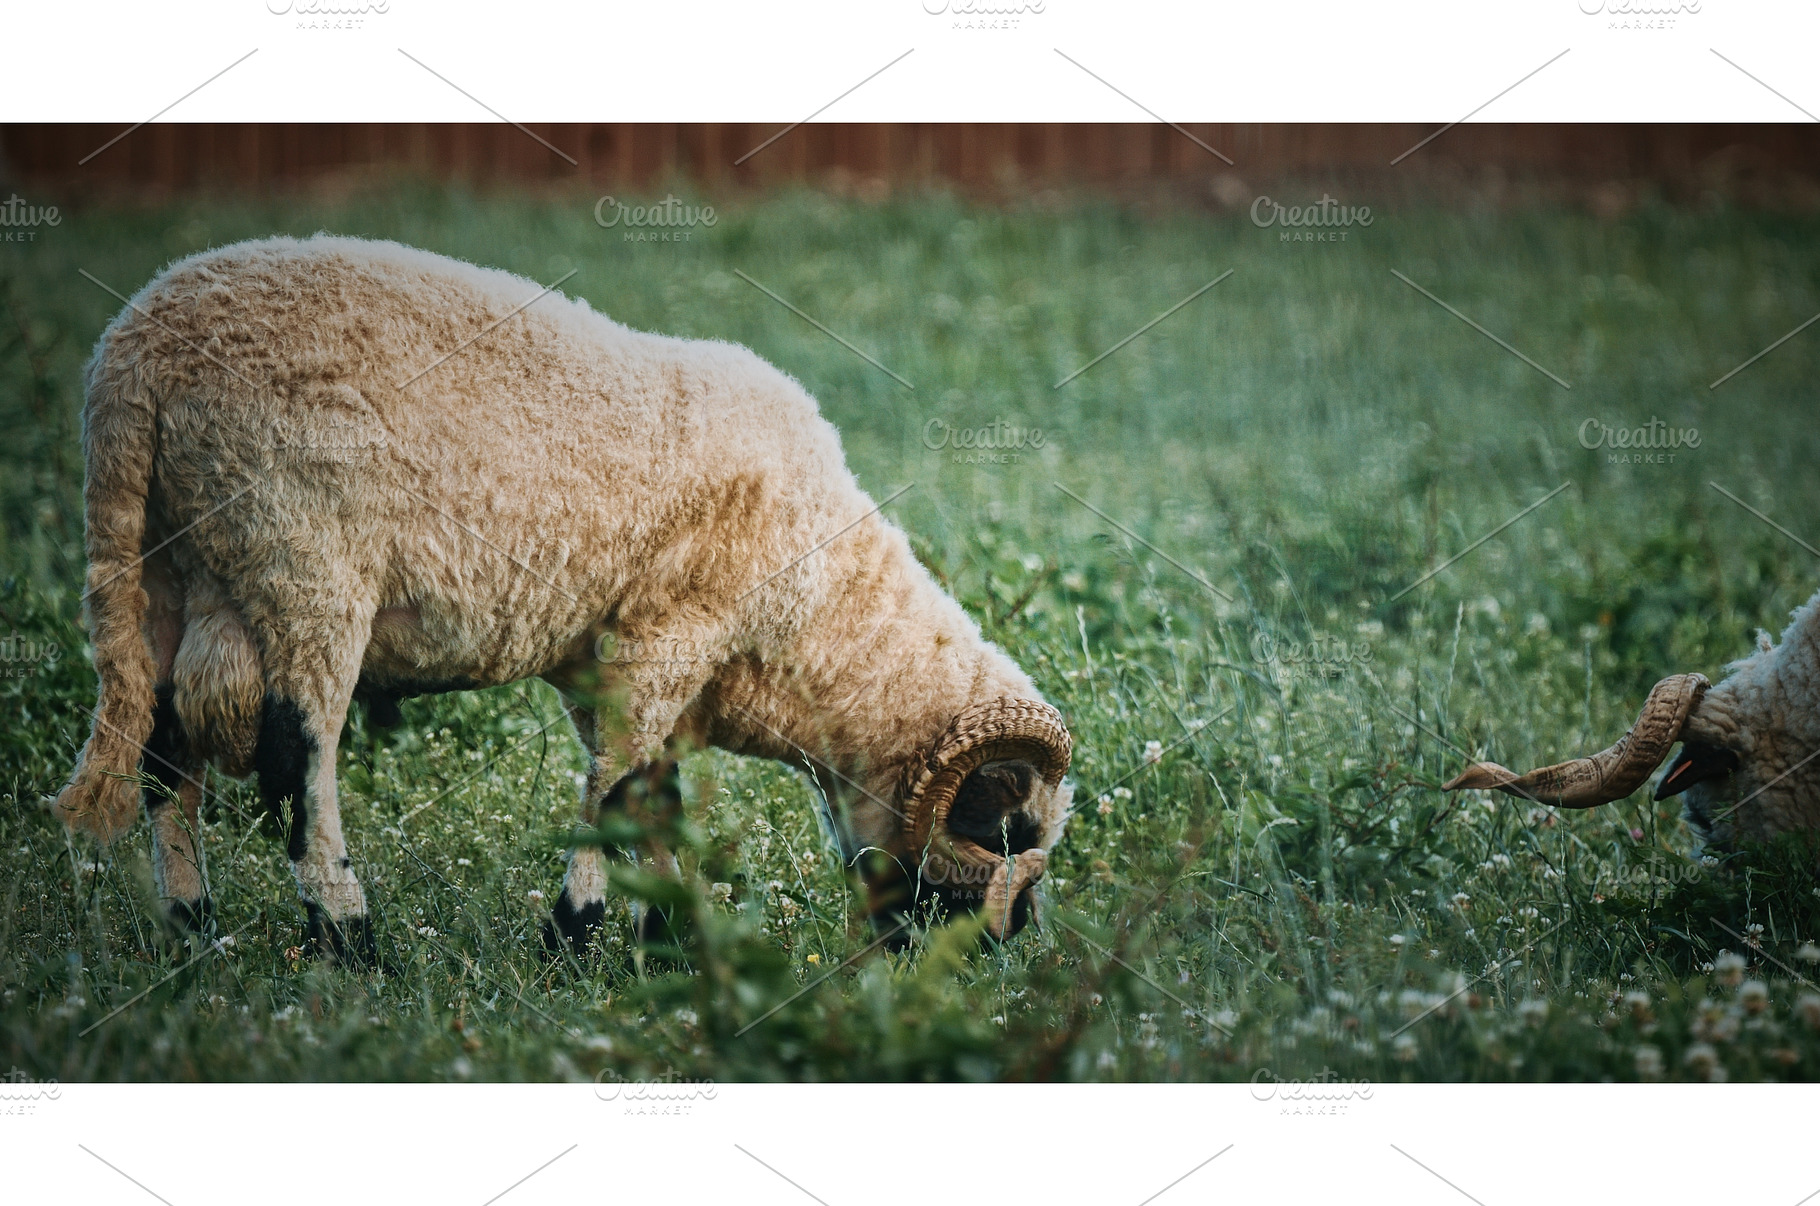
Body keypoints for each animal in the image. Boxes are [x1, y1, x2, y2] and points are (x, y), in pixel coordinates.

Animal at [53, 234, 1073, 964]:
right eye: (1009, 825)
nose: (1006, 941)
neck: (820, 616)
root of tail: (132, 362)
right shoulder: (669, 635)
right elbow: (613, 791)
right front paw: (573, 940)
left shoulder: (613, 663)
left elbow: (653, 795)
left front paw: (666, 943)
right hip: (302, 559)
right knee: (304, 762)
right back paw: (348, 938)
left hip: (172, 574)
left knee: (165, 756)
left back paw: (193, 929)